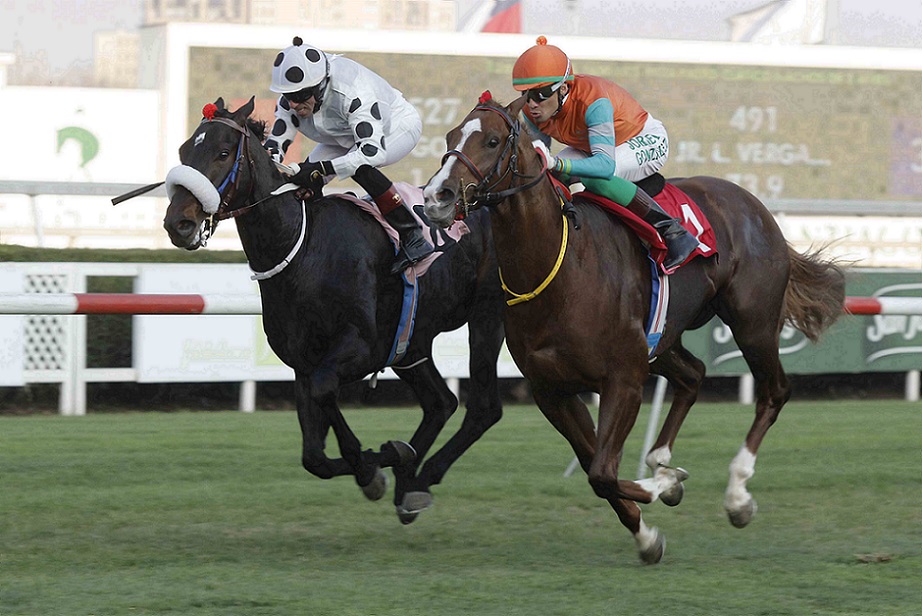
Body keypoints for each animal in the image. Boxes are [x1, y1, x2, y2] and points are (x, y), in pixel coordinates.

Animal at [162, 96, 506, 523]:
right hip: (412, 342)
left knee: (484, 408)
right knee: (441, 403)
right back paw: (410, 484)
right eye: (184, 152)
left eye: (223, 152)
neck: (305, 248)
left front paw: (375, 465)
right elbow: (314, 457)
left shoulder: (359, 346)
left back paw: (421, 475)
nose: (178, 223)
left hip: (487, 317)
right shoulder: (304, 362)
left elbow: (327, 391)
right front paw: (383, 462)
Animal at [422, 95, 846, 563]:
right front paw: (649, 529)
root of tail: (753, 204)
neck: (559, 265)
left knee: (774, 391)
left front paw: (664, 485)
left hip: (752, 322)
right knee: (694, 374)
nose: (436, 196)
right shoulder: (553, 391)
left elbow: (603, 473)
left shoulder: (622, 379)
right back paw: (662, 458)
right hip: (662, 341)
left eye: (493, 140)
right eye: (450, 136)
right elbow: (596, 469)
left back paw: (736, 495)